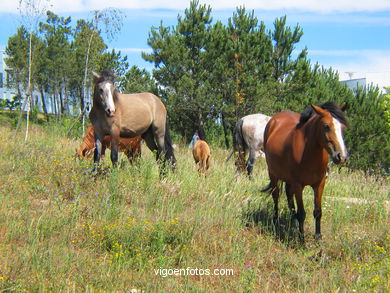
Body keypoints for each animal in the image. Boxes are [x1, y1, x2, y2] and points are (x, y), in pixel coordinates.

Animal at [262, 102, 348, 240]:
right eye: (326, 126)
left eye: (342, 127)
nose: (342, 157)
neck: (308, 153)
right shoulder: (298, 185)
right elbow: (302, 212)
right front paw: (301, 239)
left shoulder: (319, 184)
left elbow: (317, 211)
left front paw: (318, 237)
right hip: (273, 173)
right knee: (276, 195)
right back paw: (275, 220)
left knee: (288, 195)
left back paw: (293, 221)